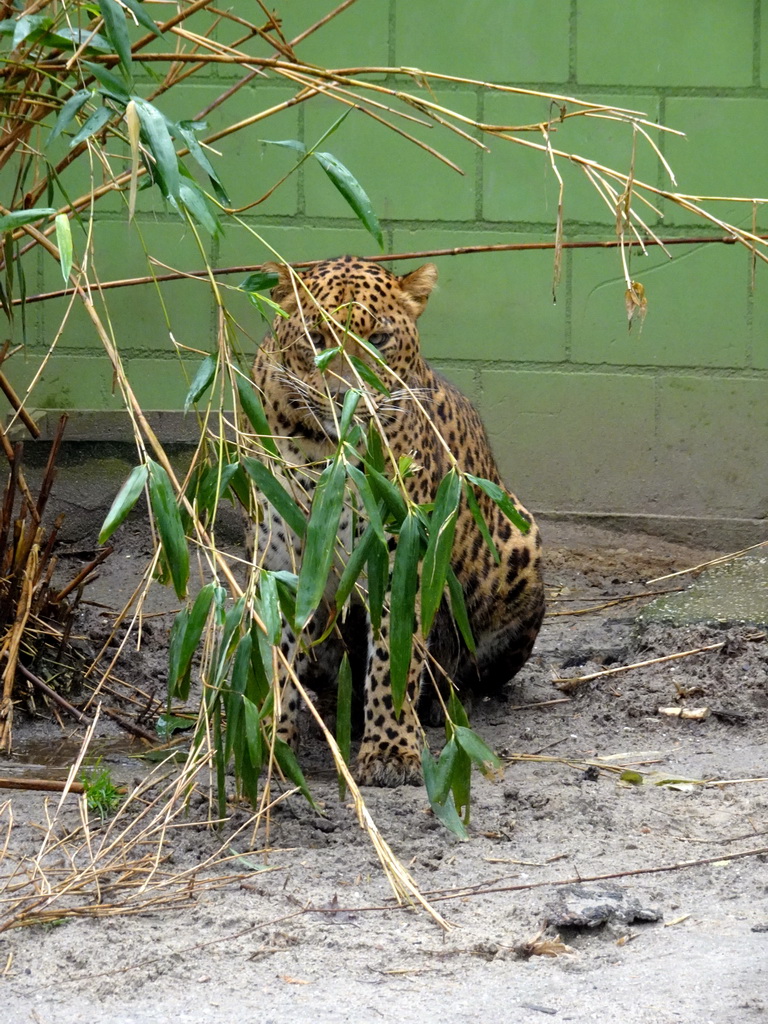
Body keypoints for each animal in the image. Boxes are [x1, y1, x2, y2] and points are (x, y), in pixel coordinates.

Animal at [243, 251, 544, 786]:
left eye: (379, 340)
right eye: (315, 338)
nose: (347, 398)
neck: (327, 453)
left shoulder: (400, 548)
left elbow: (393, 653)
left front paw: (390, 749)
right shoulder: (280, 553)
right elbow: (276, 649)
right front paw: (270, 734)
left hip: (518, 546)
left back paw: (438, 706)